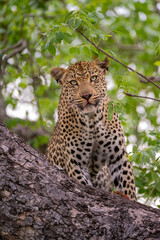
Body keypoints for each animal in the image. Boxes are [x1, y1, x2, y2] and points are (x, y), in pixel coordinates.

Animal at [47, 57, 137, 200]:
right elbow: (83, 183)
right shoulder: (75, 163)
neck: (92, 119)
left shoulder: (119, 156)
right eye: (73, 82)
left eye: (93, 78)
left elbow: (128, 185)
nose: (86, 95)